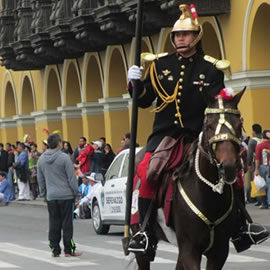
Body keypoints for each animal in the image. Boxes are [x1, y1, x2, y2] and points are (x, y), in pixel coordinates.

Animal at [133, 89, 245, 268]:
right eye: (208, 126)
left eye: (239, 125)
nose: (228, 168)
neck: (209, 195)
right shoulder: (190, 248)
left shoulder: (220, 251)